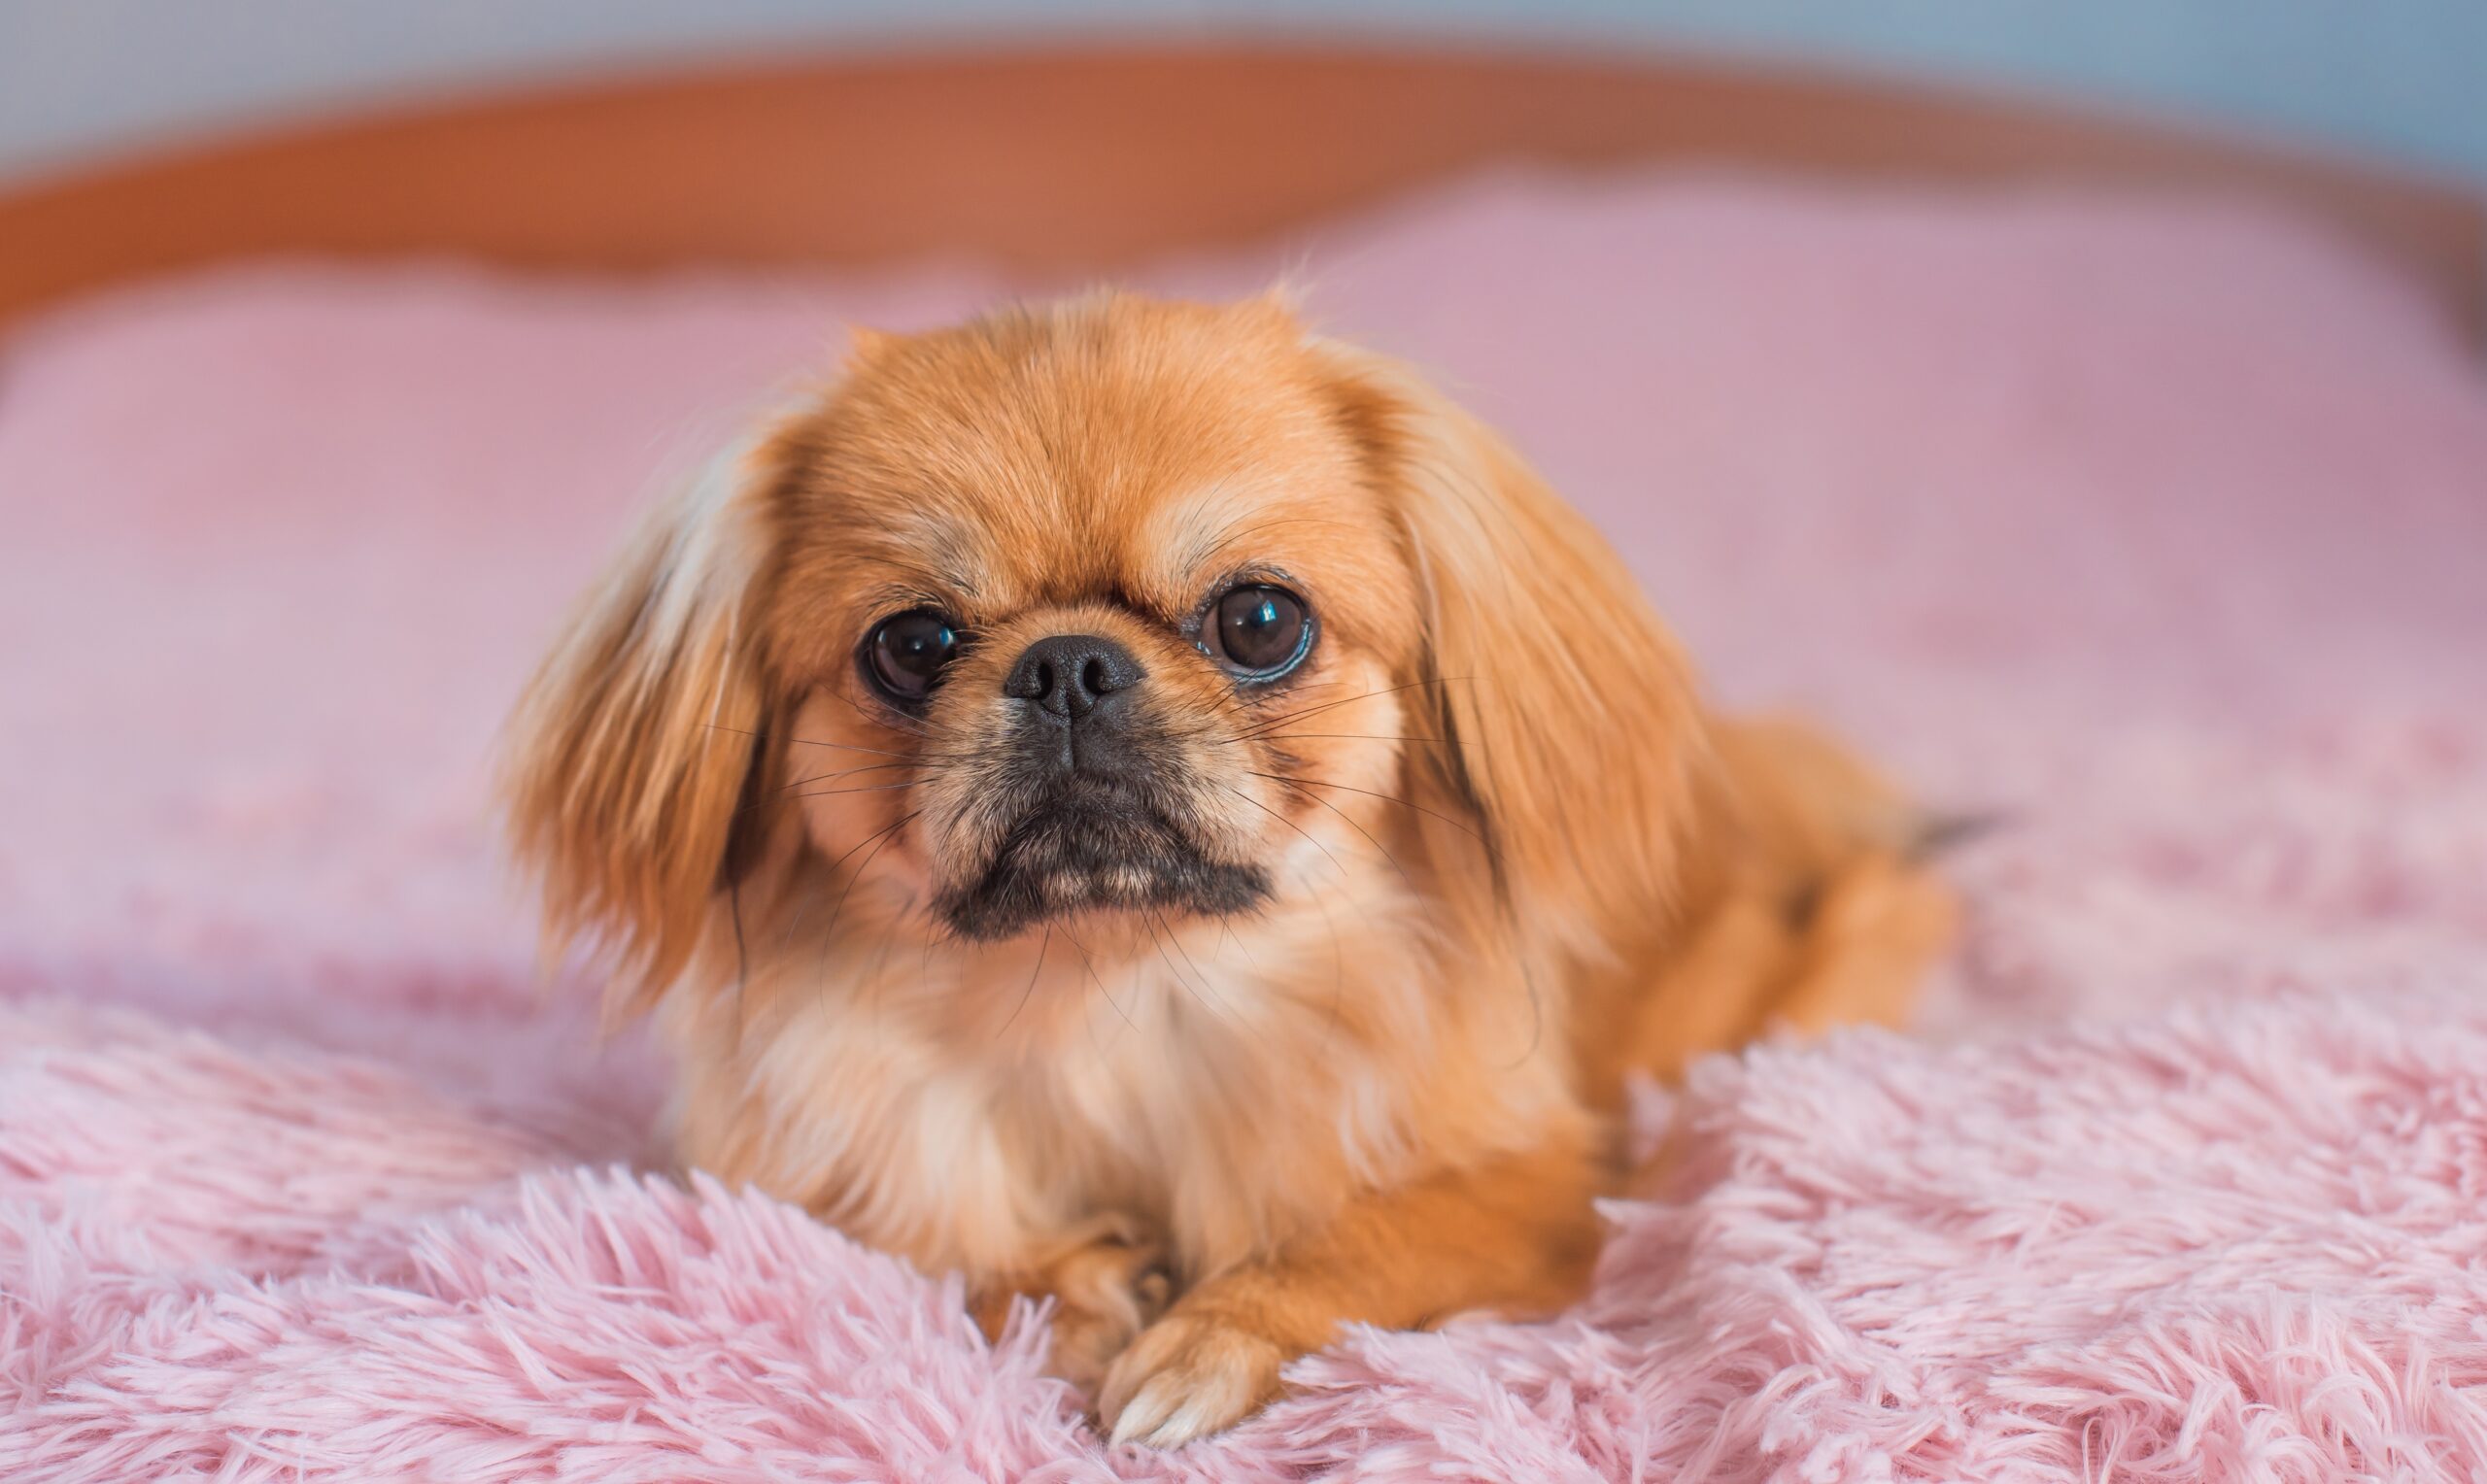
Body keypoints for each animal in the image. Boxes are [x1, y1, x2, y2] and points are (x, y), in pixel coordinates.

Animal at [504, 291, 1959, 1451]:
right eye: (912, 646)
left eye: (1260, 620)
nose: (1070, 664)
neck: (1113, 992)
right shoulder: (833, 1174)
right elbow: (947, 1243)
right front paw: (1068, 1292)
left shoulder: (1543, 1184)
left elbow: (1367, 1238)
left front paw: (1210, 1340)